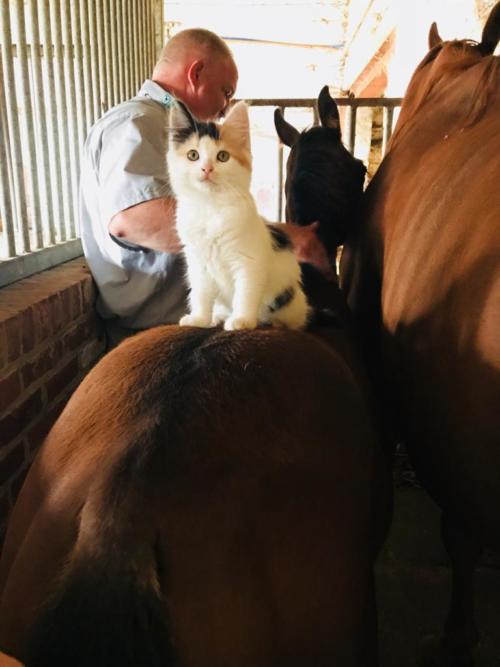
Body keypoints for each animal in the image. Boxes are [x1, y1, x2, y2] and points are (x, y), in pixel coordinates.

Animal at [168, 100, 308, 332]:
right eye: (193, 155)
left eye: (222, 156)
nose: (207, 169)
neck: (211, 207)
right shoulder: (198, 263)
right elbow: (201, 294)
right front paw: (200, 319)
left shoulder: (249, 262)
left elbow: (245, 292)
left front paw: (242, 320)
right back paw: (218, 317)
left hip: (290, 301)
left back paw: (273, 322)